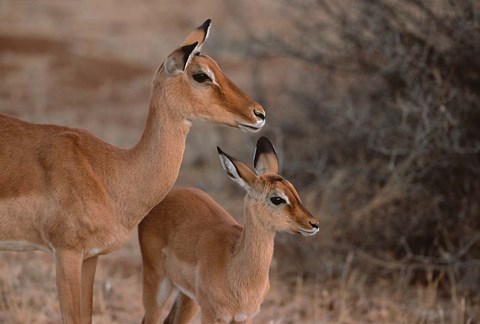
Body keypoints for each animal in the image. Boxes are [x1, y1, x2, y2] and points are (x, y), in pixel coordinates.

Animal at [0, 19, 266, 322]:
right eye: (201, 76)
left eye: (218, 66)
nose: (259, 114)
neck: (110, 173)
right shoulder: (65, 252)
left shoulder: (90, 256)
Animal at [139, 137, 318, 324]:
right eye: (277, 198)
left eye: (294, 190)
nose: (313, 224)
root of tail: (164, 198)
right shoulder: (211, 314)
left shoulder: (246, 317)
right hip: (157, 283)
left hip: (188, 297)